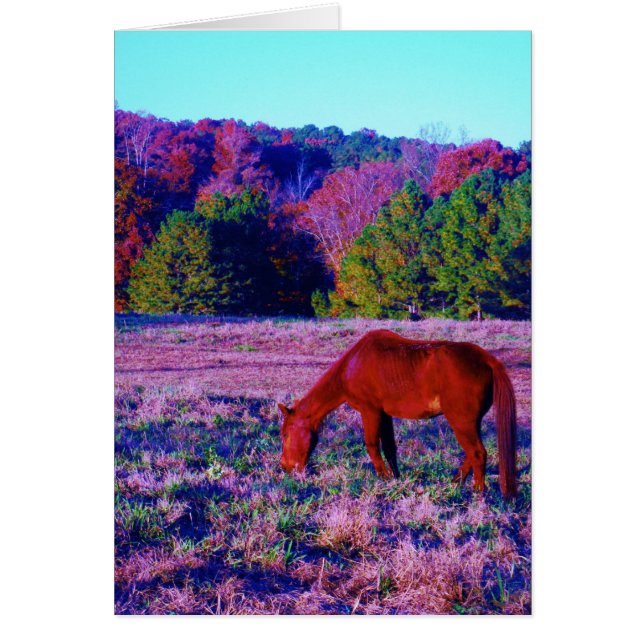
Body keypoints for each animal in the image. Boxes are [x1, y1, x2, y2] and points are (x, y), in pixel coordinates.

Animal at [278, 329, 517, 499]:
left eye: (286, 434)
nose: (285, 466)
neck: (353, 364)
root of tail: (486, 359)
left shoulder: (370, 411)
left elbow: (372, 445)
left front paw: (382, 477)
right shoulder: (385, 415)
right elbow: (390, 448)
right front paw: (395, 477)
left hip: (461, 420)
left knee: (477, 453)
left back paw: (478, 492)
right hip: (470, 421)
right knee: (472, 453)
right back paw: (456, 483)